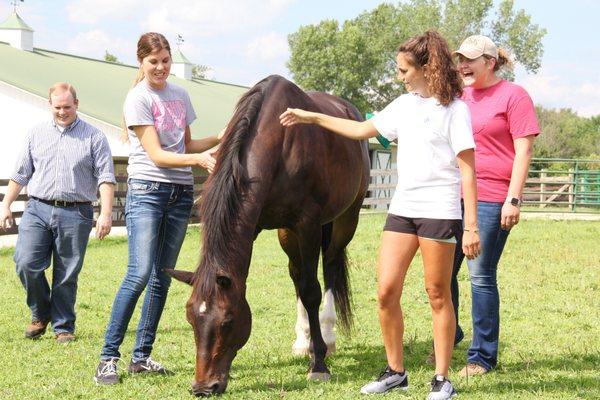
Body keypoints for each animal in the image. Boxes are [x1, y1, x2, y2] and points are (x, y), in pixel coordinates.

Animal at [166, 76, 368, 396]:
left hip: (345, 220)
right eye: (190, 318)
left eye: (227, 321)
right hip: (288, 233)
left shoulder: (308, 224)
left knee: (330, 269)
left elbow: (312, 290)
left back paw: (327, 335)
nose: (203, 387)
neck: (280, 142)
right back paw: (304, 341)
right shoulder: (258, 225)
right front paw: (309, 347)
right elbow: (300, 284)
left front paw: (319, 364)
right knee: (297, 274)